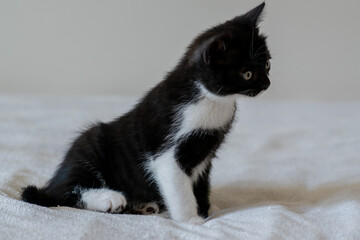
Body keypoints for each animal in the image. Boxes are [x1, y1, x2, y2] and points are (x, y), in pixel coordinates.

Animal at [21, 2, 270, 223]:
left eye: (267, 65)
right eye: (247, 74)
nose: (267, 84)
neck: (211, 99)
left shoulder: (206, 153)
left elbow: (201, 185)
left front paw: (207, 209)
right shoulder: (168, 154)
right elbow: (180, 187)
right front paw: (191, 220)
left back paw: (142, 205)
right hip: (88, 144)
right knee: (63, 193)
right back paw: (110, 199)